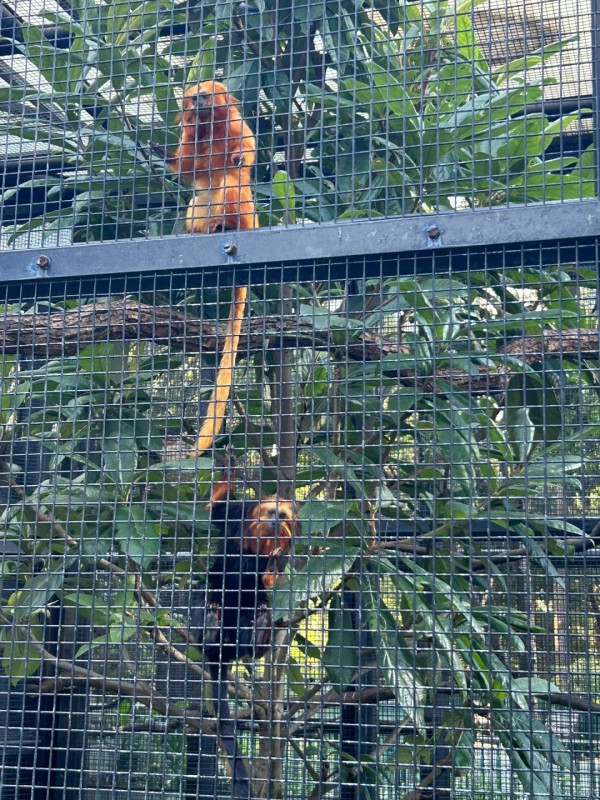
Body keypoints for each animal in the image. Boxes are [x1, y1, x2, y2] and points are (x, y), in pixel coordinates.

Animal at [190, 454, 300, 796]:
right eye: (271, 513)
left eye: (283, 516)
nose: (277, 520)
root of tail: (222, 650)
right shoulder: (238, 518)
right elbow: (217, 511)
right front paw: (229, 472)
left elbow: (272, 580)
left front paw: (272, 569)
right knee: (209, 594)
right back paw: (209, 627)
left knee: (259, 616)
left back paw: (257, 633)